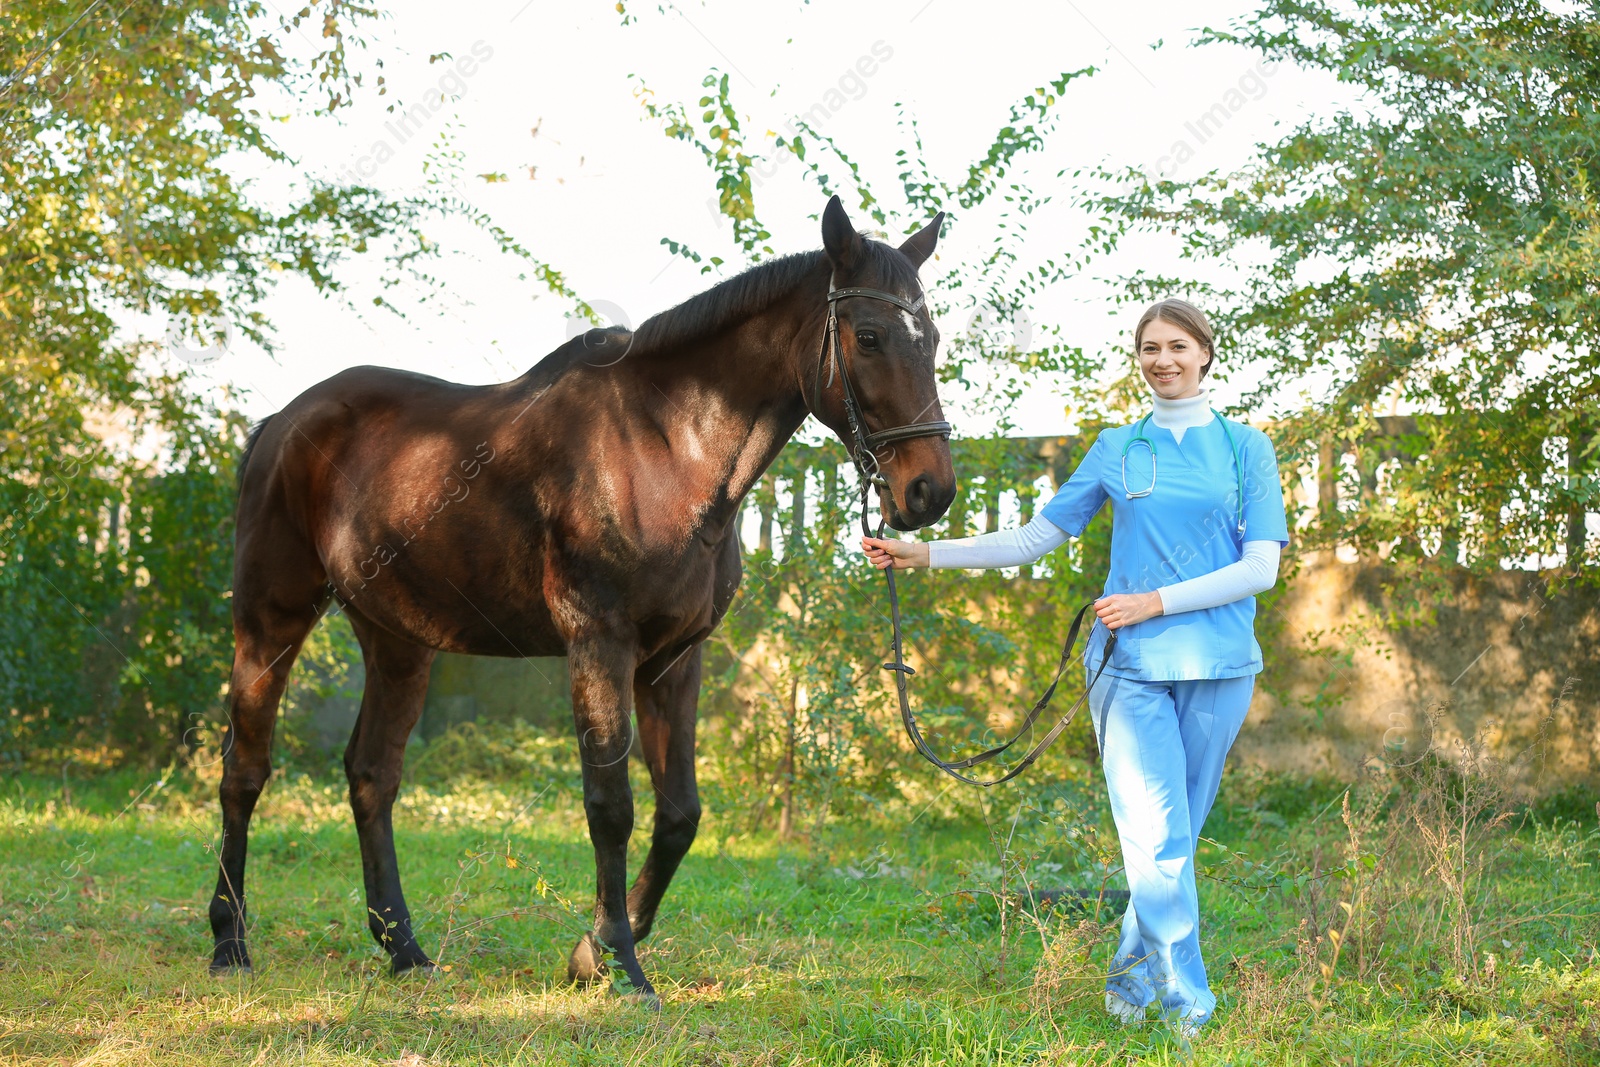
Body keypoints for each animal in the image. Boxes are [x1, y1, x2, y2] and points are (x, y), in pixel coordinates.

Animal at [212, 198, 960, 1004]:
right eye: (869, 336)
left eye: (933, 339)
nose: (929, 491)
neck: (665, 451)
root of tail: (281, 424)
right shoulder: (600, 644)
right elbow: (612, 806)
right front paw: (619, 962)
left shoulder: (674, 659)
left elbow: (679, 813)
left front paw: (591, 950)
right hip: (271, 619)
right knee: (245, 770)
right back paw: (230, 943)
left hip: (397, 639)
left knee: (372, 775)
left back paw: (404, 948)